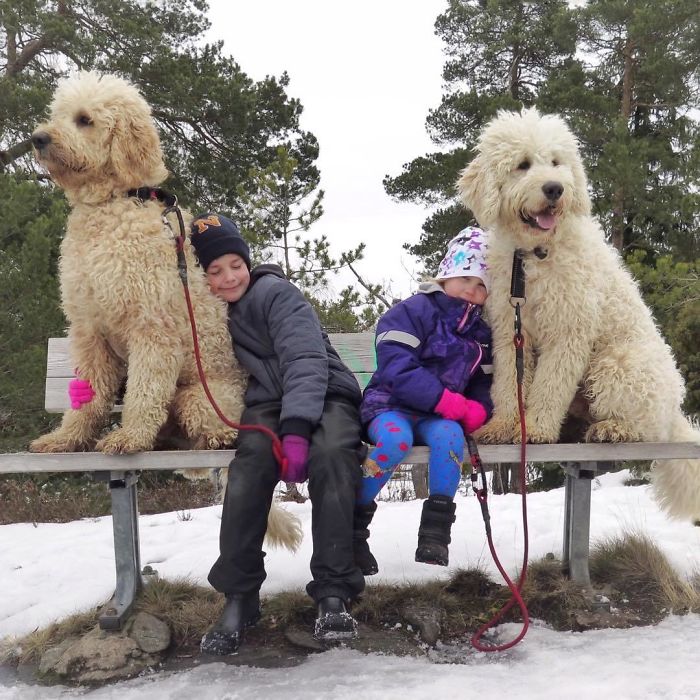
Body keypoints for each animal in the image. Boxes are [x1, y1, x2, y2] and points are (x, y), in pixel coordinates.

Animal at [29, 71, 300, 548]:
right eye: (57, 114)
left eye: (84, 120)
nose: (38, 138)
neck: (111, 205)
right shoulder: (87, 330)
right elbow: (89, 397)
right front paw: (66, 439)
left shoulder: (151, 327)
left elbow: (143, 393)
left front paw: (129, 436)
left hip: (197, 399)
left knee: (206, 436)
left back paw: (215, 437)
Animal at [460, 105, 700, 520]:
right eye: (522, 165)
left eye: (557, 162)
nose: (554, 188)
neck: (535, 255)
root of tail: (675, 412)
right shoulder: (510, 331)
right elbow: (508, 383)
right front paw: (504, 425)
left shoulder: (568, 330)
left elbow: (550, 385)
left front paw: (536, 429)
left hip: (618, 366)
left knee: (645, 425)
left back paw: (613, 429)